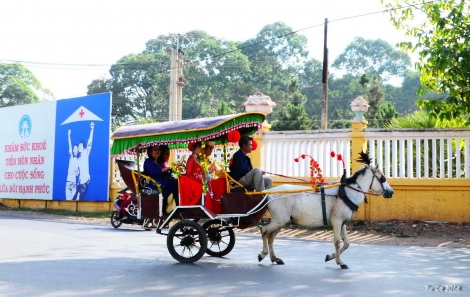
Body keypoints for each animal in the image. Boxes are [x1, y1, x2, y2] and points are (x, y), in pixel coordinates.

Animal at [258, 155, 394, 268]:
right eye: (382, 178)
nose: (391, 192)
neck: (346, 193)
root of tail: (268, 193)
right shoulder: (337, 222)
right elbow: (337, 242)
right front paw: (340, 262)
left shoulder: (342, 223)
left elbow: (347, 243)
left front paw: (330, 257)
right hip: (279, 220)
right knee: (264, 231)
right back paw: (263, 254)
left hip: (281, 221)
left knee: (271, 237)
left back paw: (274, 258)